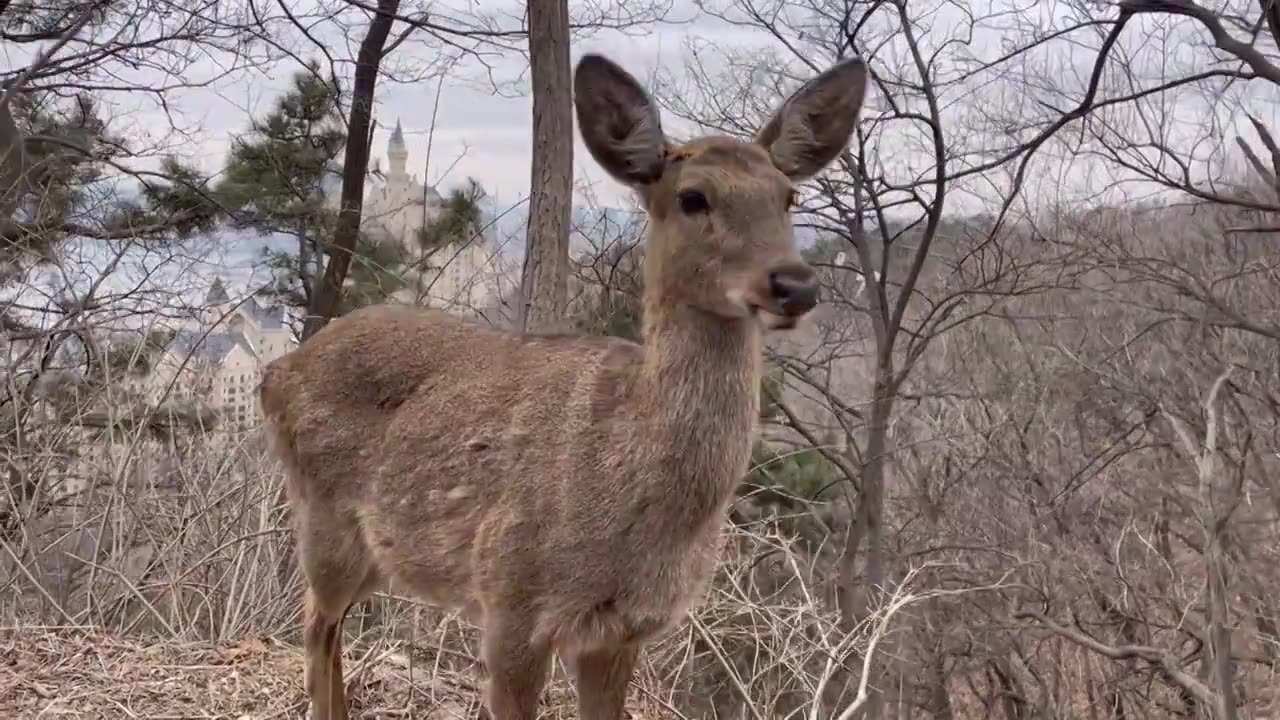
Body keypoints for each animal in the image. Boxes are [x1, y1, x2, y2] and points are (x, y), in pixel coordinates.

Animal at [254, 51, 865, 717]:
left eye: (789, 195)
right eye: (693, 197)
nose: (794, 284)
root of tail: (276, 372)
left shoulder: (621, 632)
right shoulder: (511, 600)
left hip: (376, 553)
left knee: (327, 626)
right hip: (324, 519)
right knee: (315, 625)